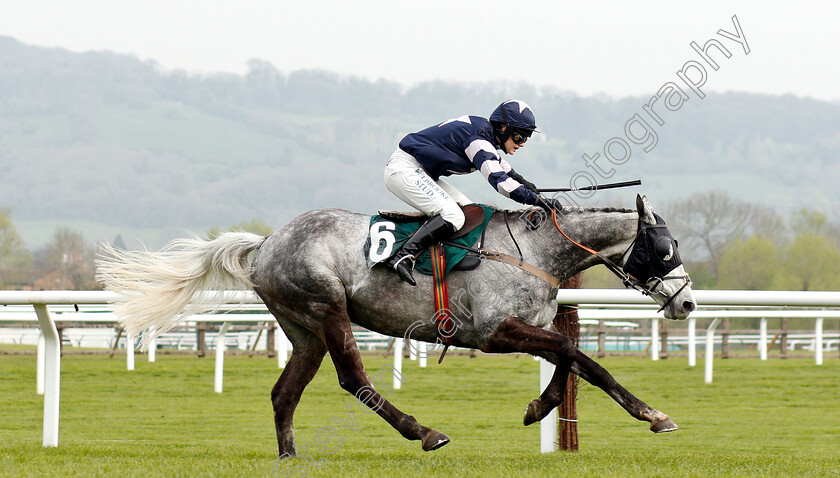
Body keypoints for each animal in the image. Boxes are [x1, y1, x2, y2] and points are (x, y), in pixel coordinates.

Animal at [95, 195, 696, 460]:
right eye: (666, 248)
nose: (688, 302)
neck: (538, 251)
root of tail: (265, 244)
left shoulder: (528, 325)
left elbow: (576, 359)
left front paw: (549, 408)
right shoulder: (492, 332)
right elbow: (578, 357)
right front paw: (645, 414)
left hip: (302, 329)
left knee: (285, 391)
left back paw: (289, 455)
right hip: (327, 309)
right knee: (353, 379)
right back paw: (423, 431)